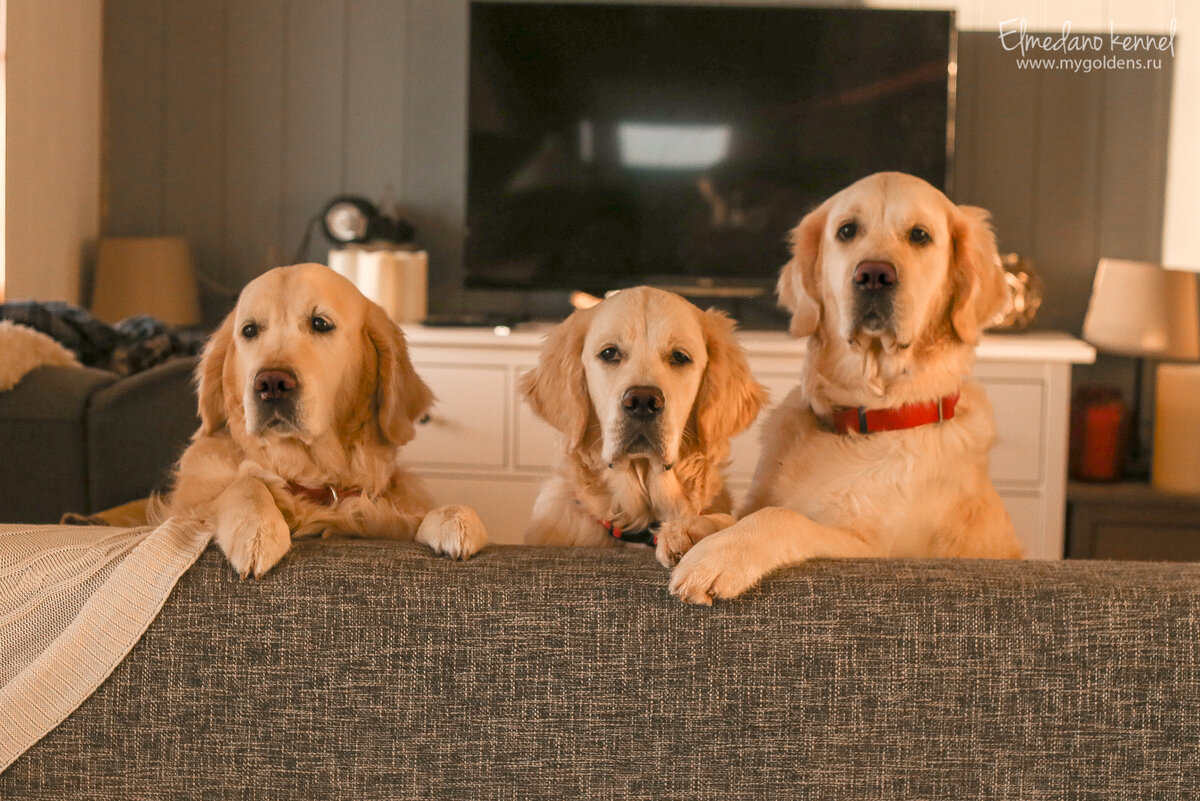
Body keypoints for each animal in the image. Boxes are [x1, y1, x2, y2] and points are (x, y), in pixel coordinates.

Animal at [151, 262, 487, 575]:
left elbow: (424, 514)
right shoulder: (182, 507)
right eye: (249, 330)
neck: (312, 478)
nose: (271, 383)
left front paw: (457, 519)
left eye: (320, 323)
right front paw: (257, 529)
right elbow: (246, 483)